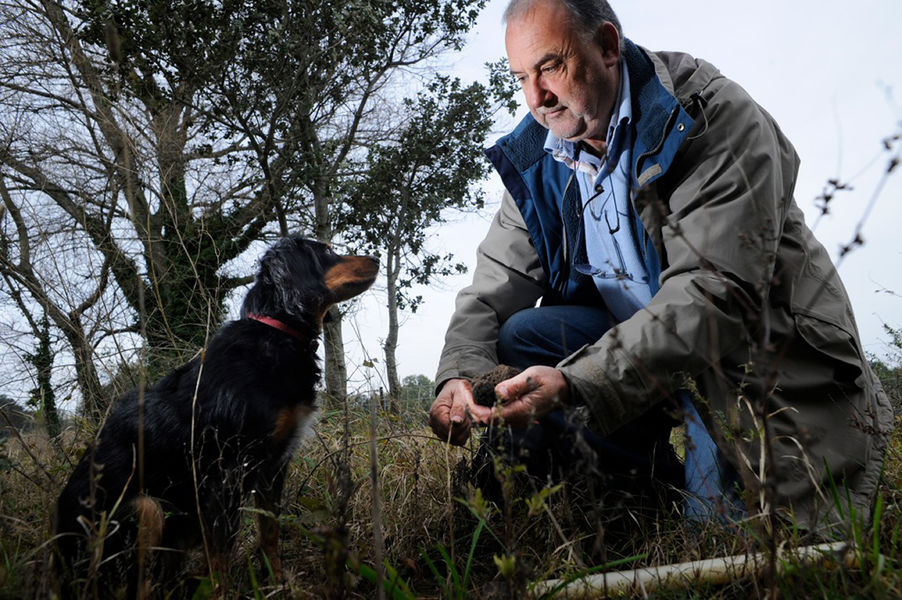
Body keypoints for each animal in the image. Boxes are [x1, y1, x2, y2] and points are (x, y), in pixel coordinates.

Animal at [53, 237, 378, 596]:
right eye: (327, 252)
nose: (377, 259)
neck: (276, 333)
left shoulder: (273, 467)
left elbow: (270, 533)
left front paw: (276, 584)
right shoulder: (227, 474)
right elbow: (221, 554)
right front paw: (226, 593)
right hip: (144, 509)